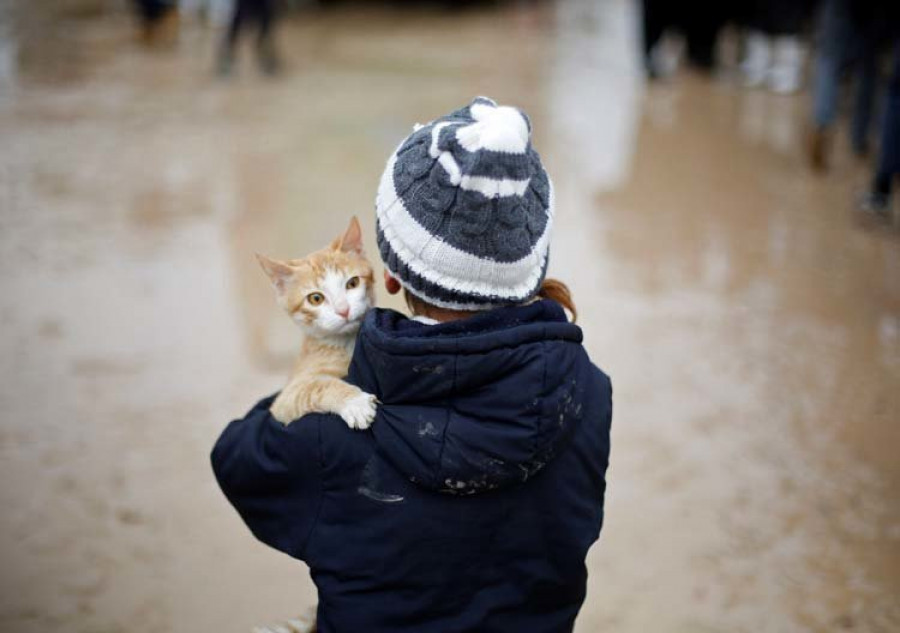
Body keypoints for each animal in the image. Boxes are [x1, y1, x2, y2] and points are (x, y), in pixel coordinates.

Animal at [256, 216, 376, 430]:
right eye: (316, 299)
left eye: (352, 283)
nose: (343, 310)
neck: (347, 342)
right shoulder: (285, 399)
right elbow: (317, 387)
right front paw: (354, 402)